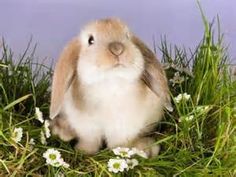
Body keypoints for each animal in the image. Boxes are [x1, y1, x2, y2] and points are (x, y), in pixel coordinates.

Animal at [49, 18, 172, 156]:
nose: (117, 48)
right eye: (90, 40)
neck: (110, 84)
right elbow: (89, 142)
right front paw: (83, 151)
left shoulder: (122, 129)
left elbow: (117, 144)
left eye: (127, 36)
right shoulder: (87, 127)